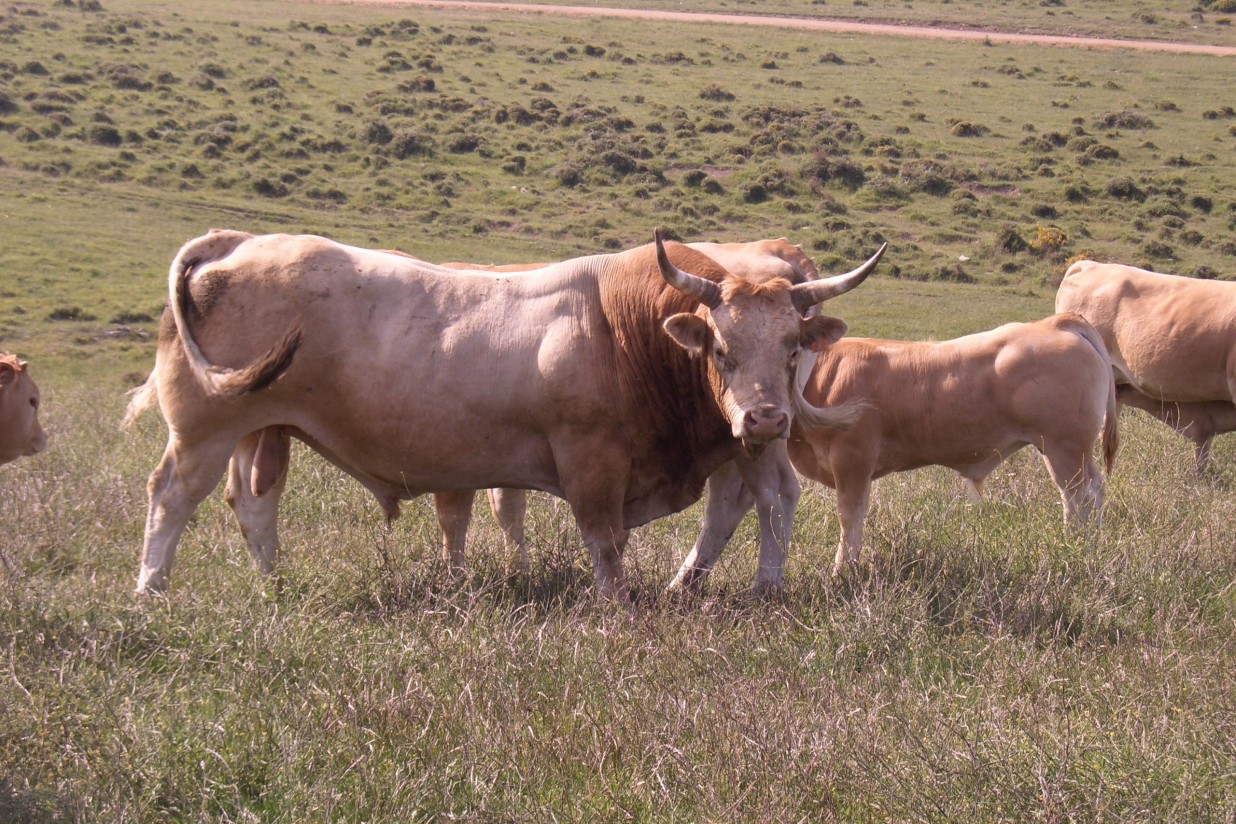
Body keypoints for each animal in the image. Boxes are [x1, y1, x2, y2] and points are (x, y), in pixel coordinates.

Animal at [125, 228, 884, 602]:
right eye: (721, 349)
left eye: (791, 346)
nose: (765, 417)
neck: (621, 327)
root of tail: (235, 241)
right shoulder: (590, 462)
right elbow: (604, 543)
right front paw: (616, 607)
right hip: (205, 428)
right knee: (174, 496)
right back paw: (151, 592)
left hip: (257, 428)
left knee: (252, 504)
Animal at [667, 311, 1122, 580]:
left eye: (790, 351)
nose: (760, 414)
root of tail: (1056, 321)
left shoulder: (854, 460)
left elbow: (850, 517)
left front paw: (842, 573)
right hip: (1072, 452)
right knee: (1093, 494)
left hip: (1065, 448)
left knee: (1079, 498)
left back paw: (1075, 548)